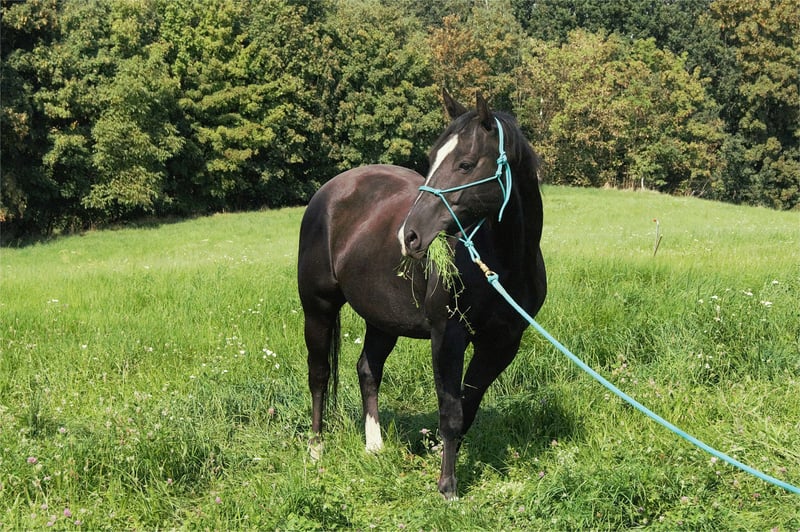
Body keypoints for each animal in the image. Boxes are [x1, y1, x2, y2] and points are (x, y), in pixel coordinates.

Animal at [297, 90, 547, 499]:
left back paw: (374, 446)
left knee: (368, 370)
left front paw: (444, 462)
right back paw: (316, 449)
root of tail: (330, 191)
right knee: (319, 375)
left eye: (465, 164)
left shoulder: (503, 344)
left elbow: (468, 407)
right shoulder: (448, 336)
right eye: (430, 161)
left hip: (382, 320)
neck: (502, 265)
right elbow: (451, 410)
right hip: (318, 308)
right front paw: (447, 487)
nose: (408, 235)